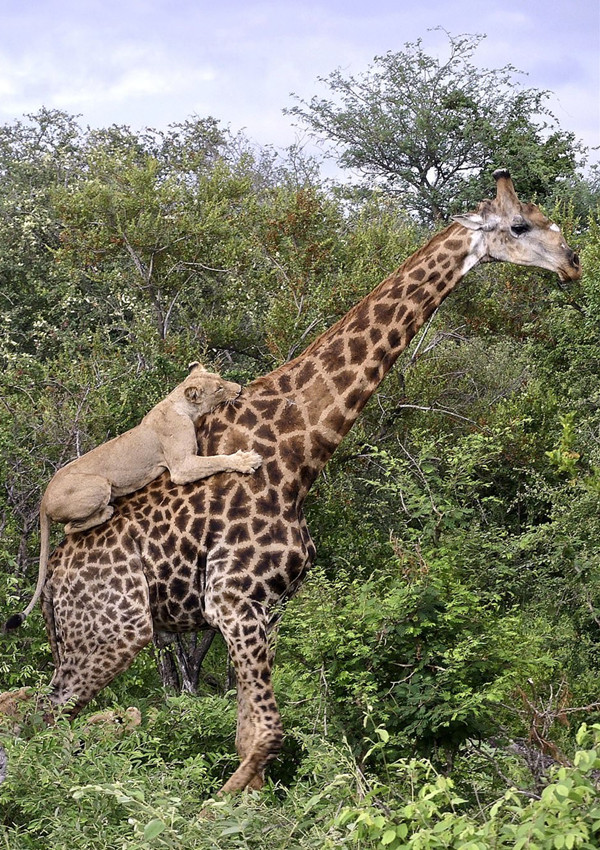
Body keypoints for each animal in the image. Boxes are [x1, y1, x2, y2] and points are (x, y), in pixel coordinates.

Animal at [4, 362, 262, 632]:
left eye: (220, 379)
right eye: (219, 388)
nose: (239, 389)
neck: (178, 403)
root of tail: (43, 500)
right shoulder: (181, 467)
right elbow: (218, 460)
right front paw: (246, 460)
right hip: (100, 484)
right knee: (69, 527)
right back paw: (107, 511)